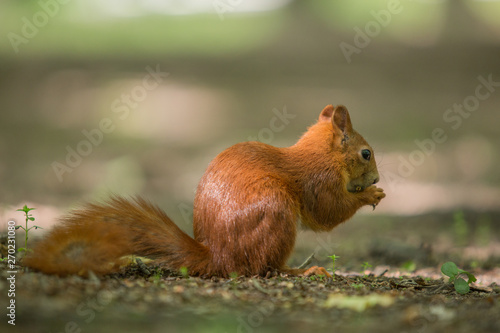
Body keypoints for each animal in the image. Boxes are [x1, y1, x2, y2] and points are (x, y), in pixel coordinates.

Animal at [24, 105, 386, 276]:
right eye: (366, 153)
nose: (376, 179)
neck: (321, 155)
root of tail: (217, 257)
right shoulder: (318, 180)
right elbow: (328, 211)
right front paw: (370, 197)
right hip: (276, 214)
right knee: (263, 268)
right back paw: (301, 269)